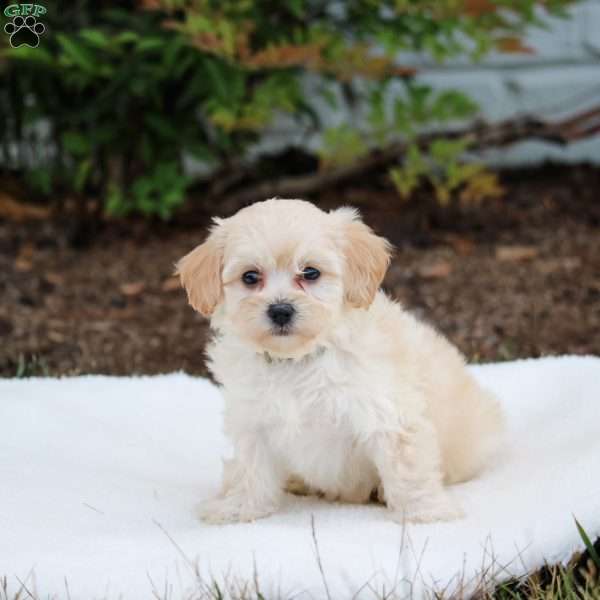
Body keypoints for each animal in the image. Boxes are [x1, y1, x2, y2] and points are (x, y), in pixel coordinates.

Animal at [177, 199, 502, 524]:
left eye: (310, 273)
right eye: (250, 277)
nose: (280, 310)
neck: (297, 360)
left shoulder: (388, 415)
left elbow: (407, 468)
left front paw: (426, 512)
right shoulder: (253, 422)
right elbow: (249, 468)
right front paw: (237, 508)